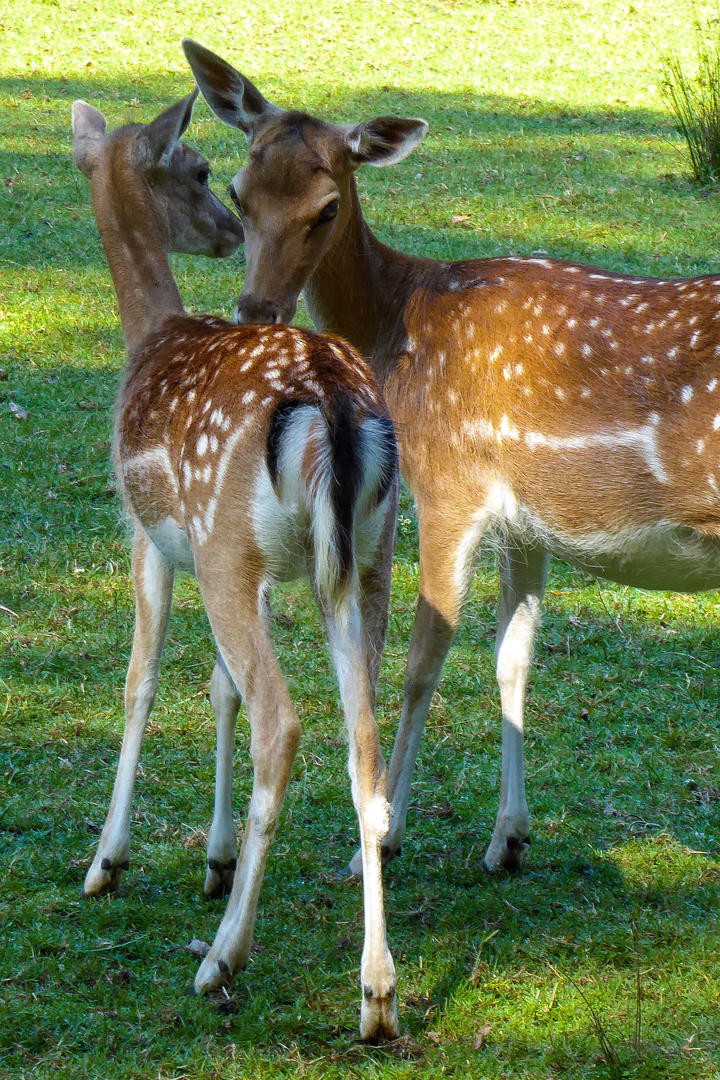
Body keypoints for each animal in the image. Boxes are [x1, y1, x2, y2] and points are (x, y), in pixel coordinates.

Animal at [71, 92, 399, 1036]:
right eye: (207, 173)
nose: (222, 236)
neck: (147, 335)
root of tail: (331, 402)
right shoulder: (244, 566)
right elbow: (216, 685)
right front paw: (212, 860)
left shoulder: (151, 533)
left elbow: (141, 680)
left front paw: (106, 863)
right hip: (360, 560)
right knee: (362, 737)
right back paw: (377, 995)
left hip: (227, 547)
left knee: (281, 723)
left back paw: (222, 959)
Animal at [185, 39, 720, 885]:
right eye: (237, 193)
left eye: (328, 206)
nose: (257, 310)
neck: (400, 323)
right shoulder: (528, 522)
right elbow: (512, 659)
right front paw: (508, 838)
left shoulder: (449, 484)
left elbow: (421, 662)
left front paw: (380, 837)